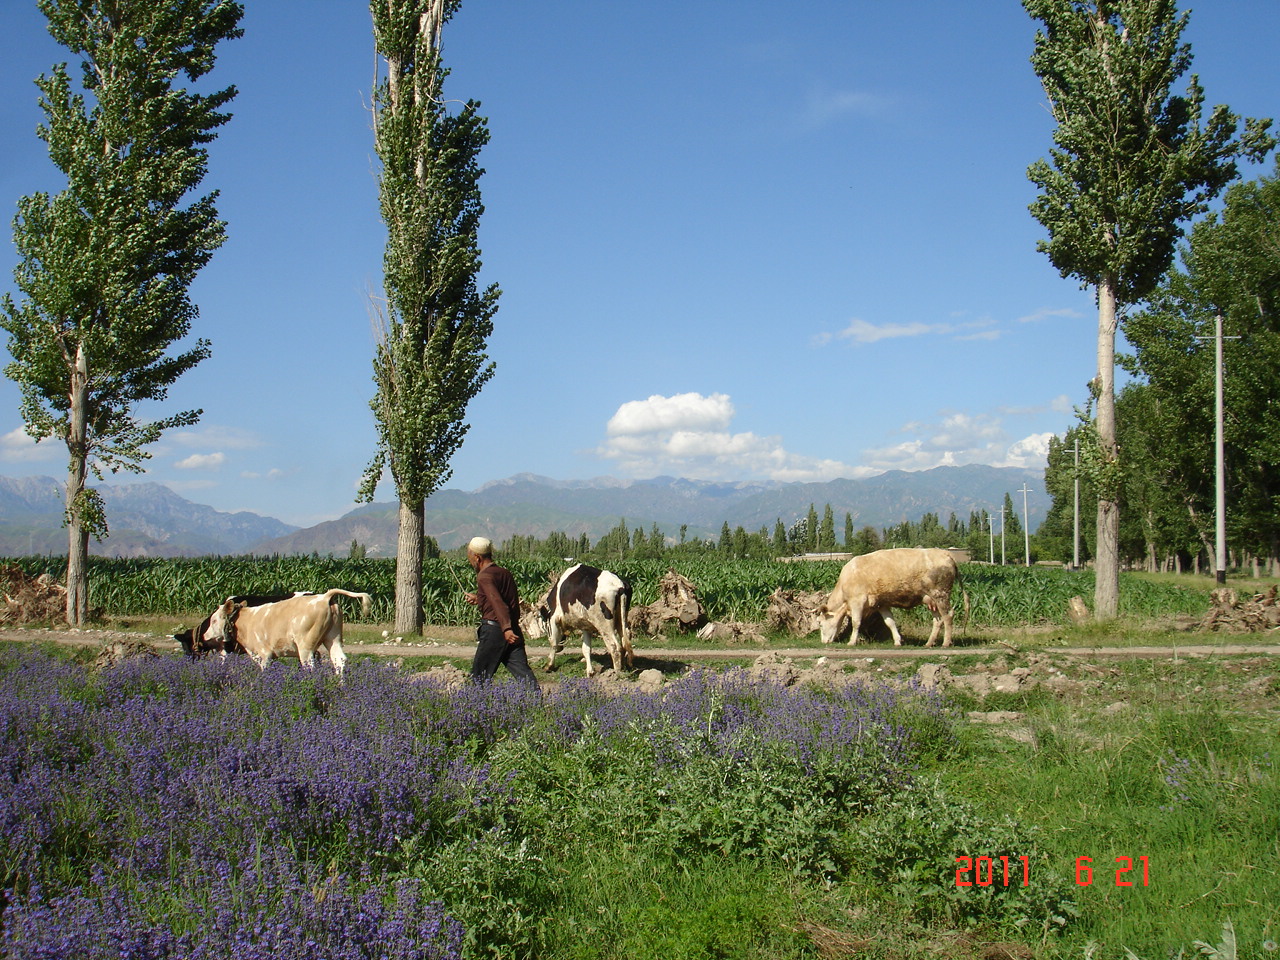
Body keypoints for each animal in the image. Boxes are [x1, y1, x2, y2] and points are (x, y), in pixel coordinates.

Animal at [198, 586, 371, 675]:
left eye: (214, 620)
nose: (204, 635)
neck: (247, 620)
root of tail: (324, 597)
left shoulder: (264, 655)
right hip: (333, 638)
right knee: (339, 661)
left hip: (306, 647)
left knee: (310, 667)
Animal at [814, 547, 962, 647]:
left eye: (820, 623)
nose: (823, 642)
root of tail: (945, 554)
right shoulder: (882, 604)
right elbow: (890, 622)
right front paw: (897, 640)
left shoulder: (857, 601)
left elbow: (856, 622)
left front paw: (851, 641)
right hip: (931, 600)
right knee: (937, 620)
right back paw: (929, 643)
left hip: (940, 595)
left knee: (948, 615)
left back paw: (946, 642)